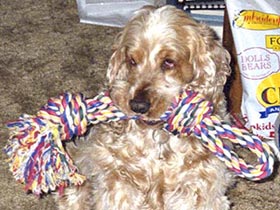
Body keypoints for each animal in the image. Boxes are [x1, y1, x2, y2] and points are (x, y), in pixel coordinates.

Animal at [57, 4, 232, 210]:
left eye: (168, 62)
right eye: (132, 60)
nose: (137, 106)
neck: (158, 138)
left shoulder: (197, 188)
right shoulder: (118, 182)